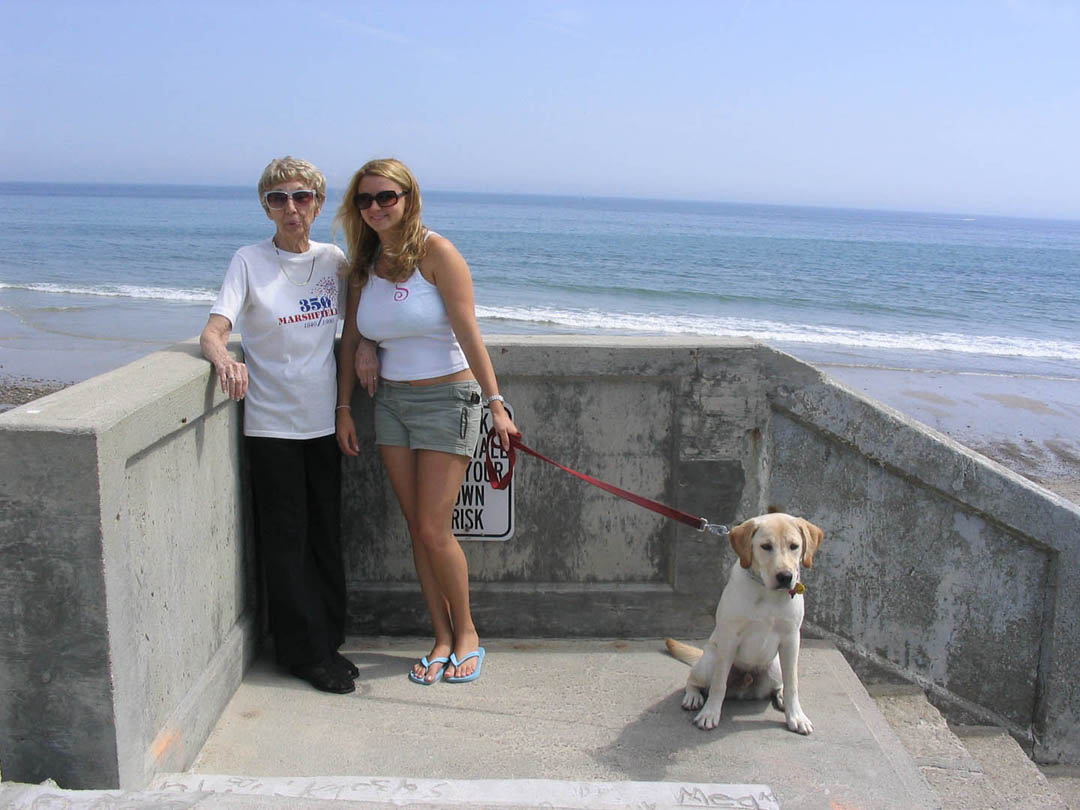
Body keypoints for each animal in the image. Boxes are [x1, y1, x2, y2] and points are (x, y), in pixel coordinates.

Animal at [660, 516, 820, 738]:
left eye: (794, 546)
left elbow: (792, 684)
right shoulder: (729, 638)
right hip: (709, 662)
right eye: (766, 546)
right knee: (693, 680)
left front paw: (796, 716)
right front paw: (709, 714)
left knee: (780, 684)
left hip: (775, 667)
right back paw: (693, 697)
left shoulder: (791, 640)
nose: (785, 576)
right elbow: (718, 685)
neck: (767, 593)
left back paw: (780, 697)